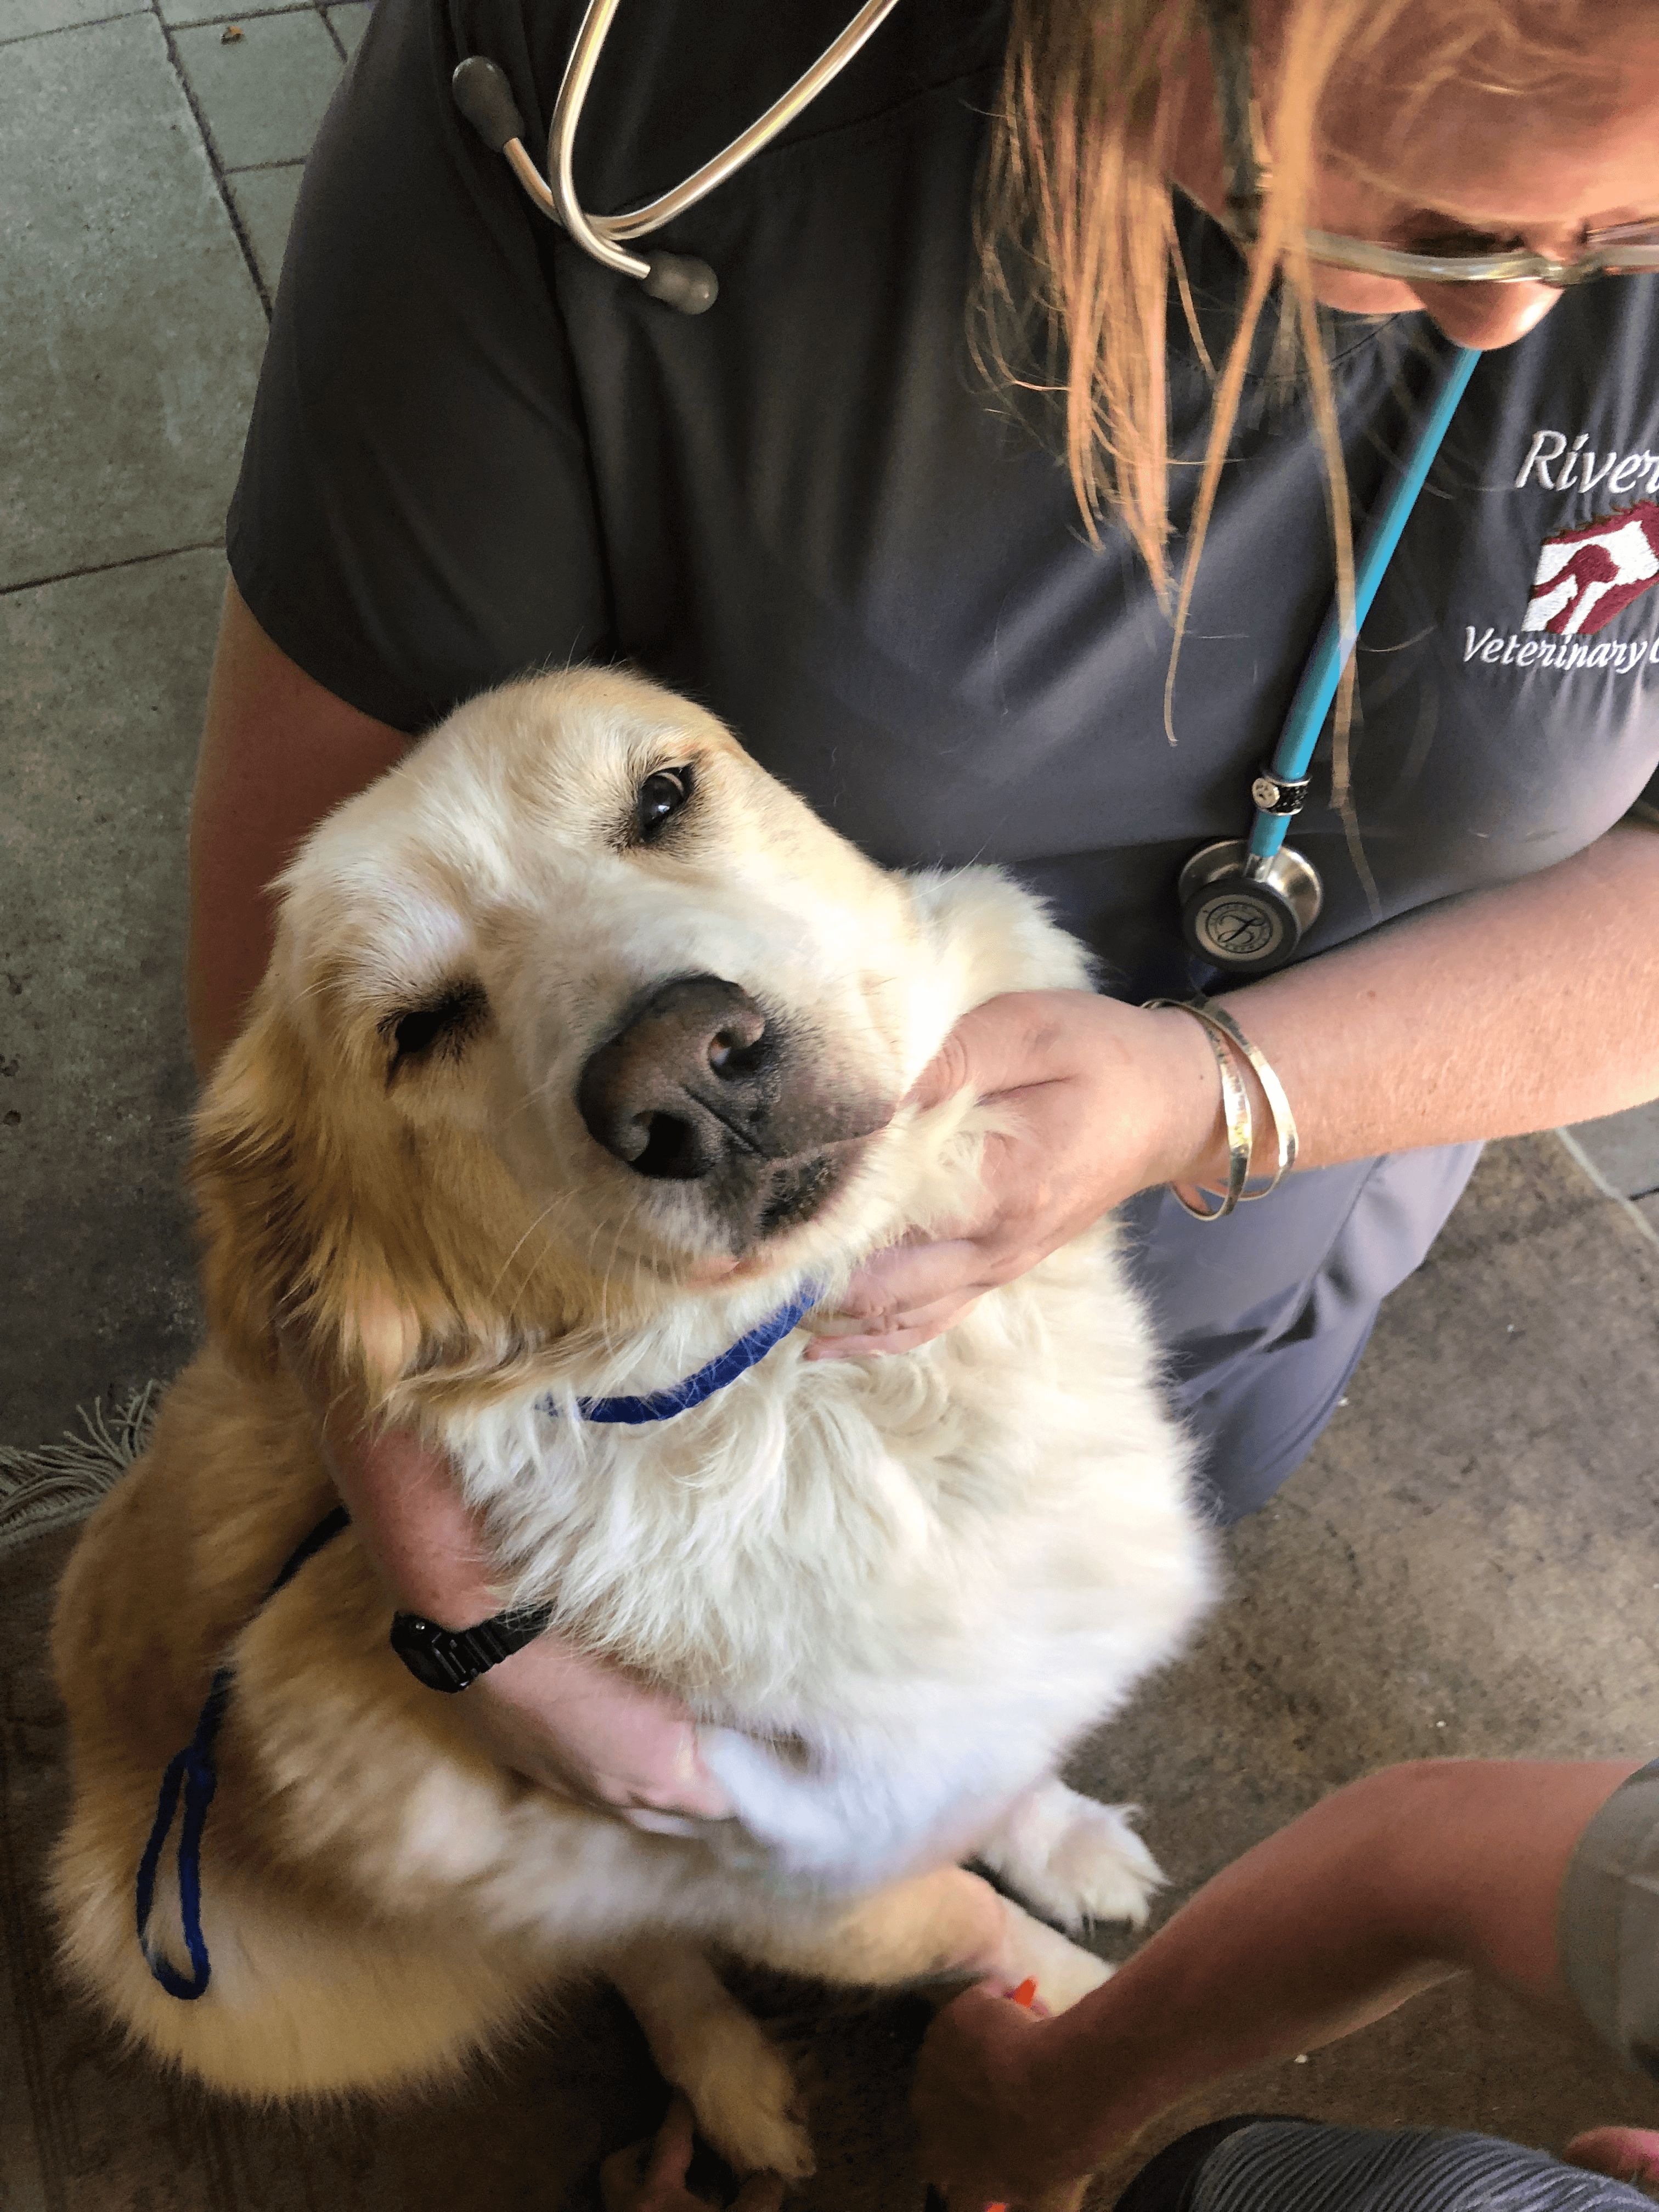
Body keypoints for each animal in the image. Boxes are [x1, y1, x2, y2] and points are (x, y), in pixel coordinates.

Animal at [48, 668, 1212, 2176]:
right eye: (417, 1029)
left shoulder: (953, 1702)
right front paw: (1084, 2023)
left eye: (663, 798)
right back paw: (726, 2078)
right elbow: (958, 1921)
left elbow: (997, 1762)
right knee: (602, 1948)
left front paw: (1060, 1836)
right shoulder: (770, 1856)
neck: (807, 1393)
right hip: (212, 1961)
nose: (686, 1076)